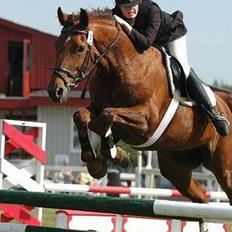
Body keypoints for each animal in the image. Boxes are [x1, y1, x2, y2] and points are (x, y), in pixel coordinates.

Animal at [47, 8, 232, 205]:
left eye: (80, 48)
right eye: (57, 45)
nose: (55, 91)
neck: (121, 67)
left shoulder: (147, 121)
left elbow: (105, 117)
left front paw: (115, 154)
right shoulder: (97, 107)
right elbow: (82, 116)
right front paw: (96, 161)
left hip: (224, 169)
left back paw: (220, 122)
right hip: (176, 168)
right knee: (202, 197)